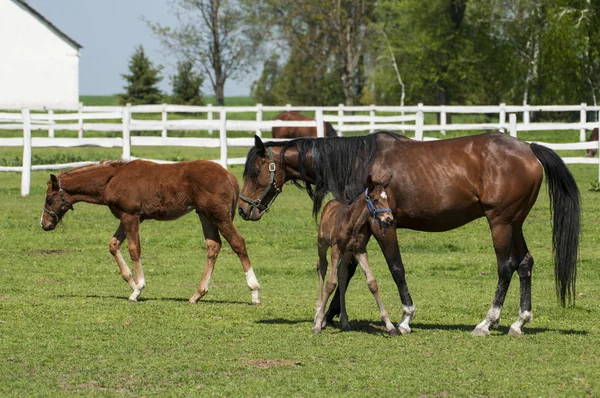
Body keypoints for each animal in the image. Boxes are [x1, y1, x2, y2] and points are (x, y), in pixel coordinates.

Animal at [39, 160, 260, 304]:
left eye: (49, 199)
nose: (44, 224)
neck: (112, 178)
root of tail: (230, 177)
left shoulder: (131, 216)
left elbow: (134, 249)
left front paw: (138, 289)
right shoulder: (127, 216)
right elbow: (113, 244)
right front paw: (131, 283)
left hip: (219, 216)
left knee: (238, 243)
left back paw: (254, 292)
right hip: (205, 215)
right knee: (213, 246)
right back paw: (197, 294)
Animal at [312, 177, 396, 336]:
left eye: (387, 199)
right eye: (375, 200)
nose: (389, 219)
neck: (352, 222)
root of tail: (331, 202)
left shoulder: (359, 250)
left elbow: (372, 282)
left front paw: (389, 325)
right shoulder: (336, 248)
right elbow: (330, 284)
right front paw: (318, 323)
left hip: (347, 253)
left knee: (342, 275)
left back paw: (345, 321)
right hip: (322, 244)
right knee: (322, 267)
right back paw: (317, 311)